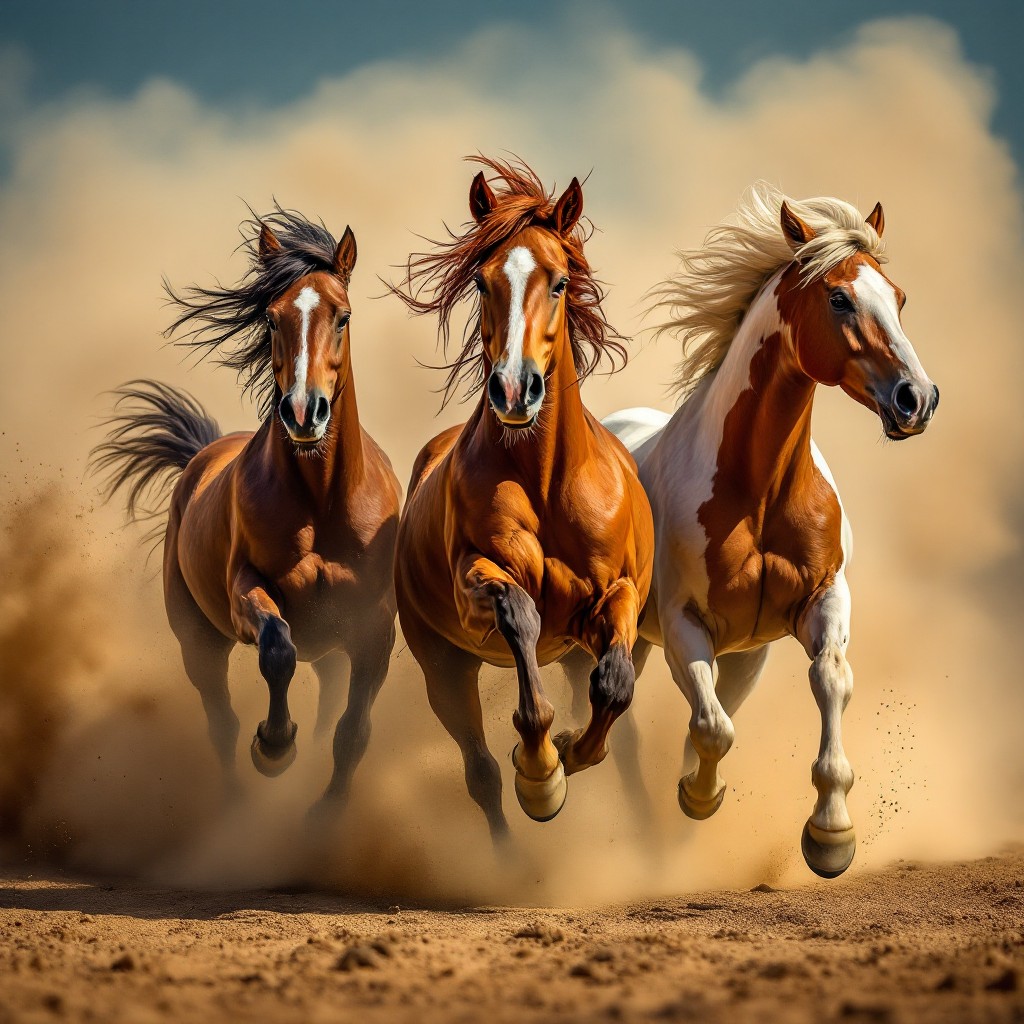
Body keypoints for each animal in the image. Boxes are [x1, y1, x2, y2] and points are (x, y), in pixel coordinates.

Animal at [92, 207, 401, 807]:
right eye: (273, 318)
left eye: (343, 316)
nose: (304, 411)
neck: (321, 501)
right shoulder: (246, 590)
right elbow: (277, 650)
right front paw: (275, 746)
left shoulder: (373, 626)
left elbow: (353, 731)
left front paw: (324, 815)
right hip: (198, 641)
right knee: (222, 722)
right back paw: (236, 798)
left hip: (329, 649)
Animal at [390, 156, 655, 845]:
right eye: (483, 283)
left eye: (559, 282)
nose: (514, 389)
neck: (546, 481)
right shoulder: (477, 581)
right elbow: (521, 618)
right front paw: (540, 775)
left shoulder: (616, 595)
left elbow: (616, 686)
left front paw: (573, 750)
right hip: (444, 669)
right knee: (479, 772)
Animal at [602, 183, 939, 877]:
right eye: (838, 298)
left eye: (897, 298)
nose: (916, 399)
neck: (757, 492)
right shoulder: (684, 623)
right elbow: (713, 728)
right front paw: (698, 798)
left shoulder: (822, 601)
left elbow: (828, 680)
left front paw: (831, 835)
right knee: (617, 729)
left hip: (740, 654)